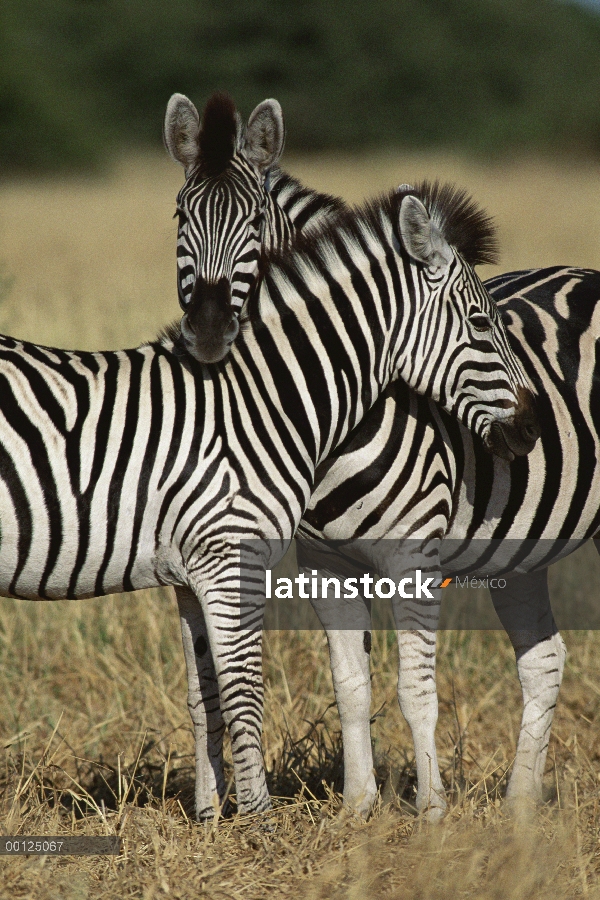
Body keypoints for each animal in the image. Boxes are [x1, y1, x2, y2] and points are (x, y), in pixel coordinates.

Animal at [161, 91, 540, 816]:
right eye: (181, 216)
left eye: (256, 219)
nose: (210, 331)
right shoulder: (319, 561)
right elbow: (335, 685)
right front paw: (353, 807)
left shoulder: (412, 554)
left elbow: (412, 689)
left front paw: (430, 811)